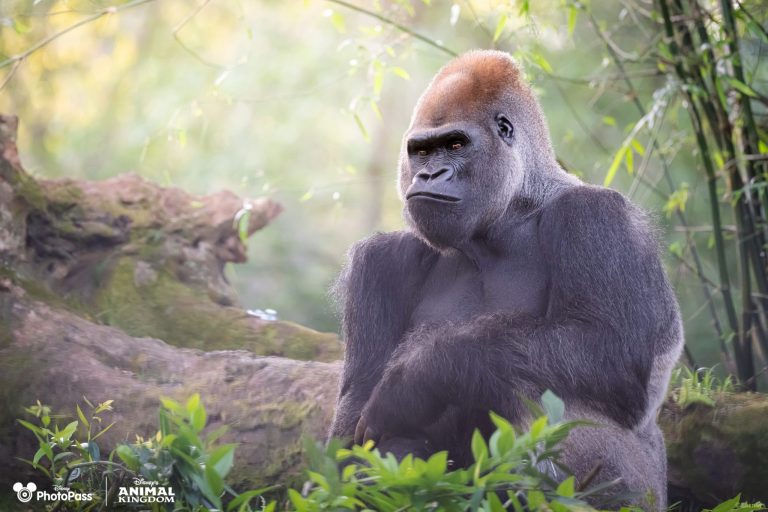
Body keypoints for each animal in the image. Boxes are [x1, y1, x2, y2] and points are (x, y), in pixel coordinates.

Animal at [329, 50, 683, 510]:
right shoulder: (380, 262)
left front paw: (420, 376)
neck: (512, 209)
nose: (428, 176)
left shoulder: (597, 216)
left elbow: (607, 349)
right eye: (420, 151)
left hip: (642, 494)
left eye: (455, 144)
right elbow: (350, 425)